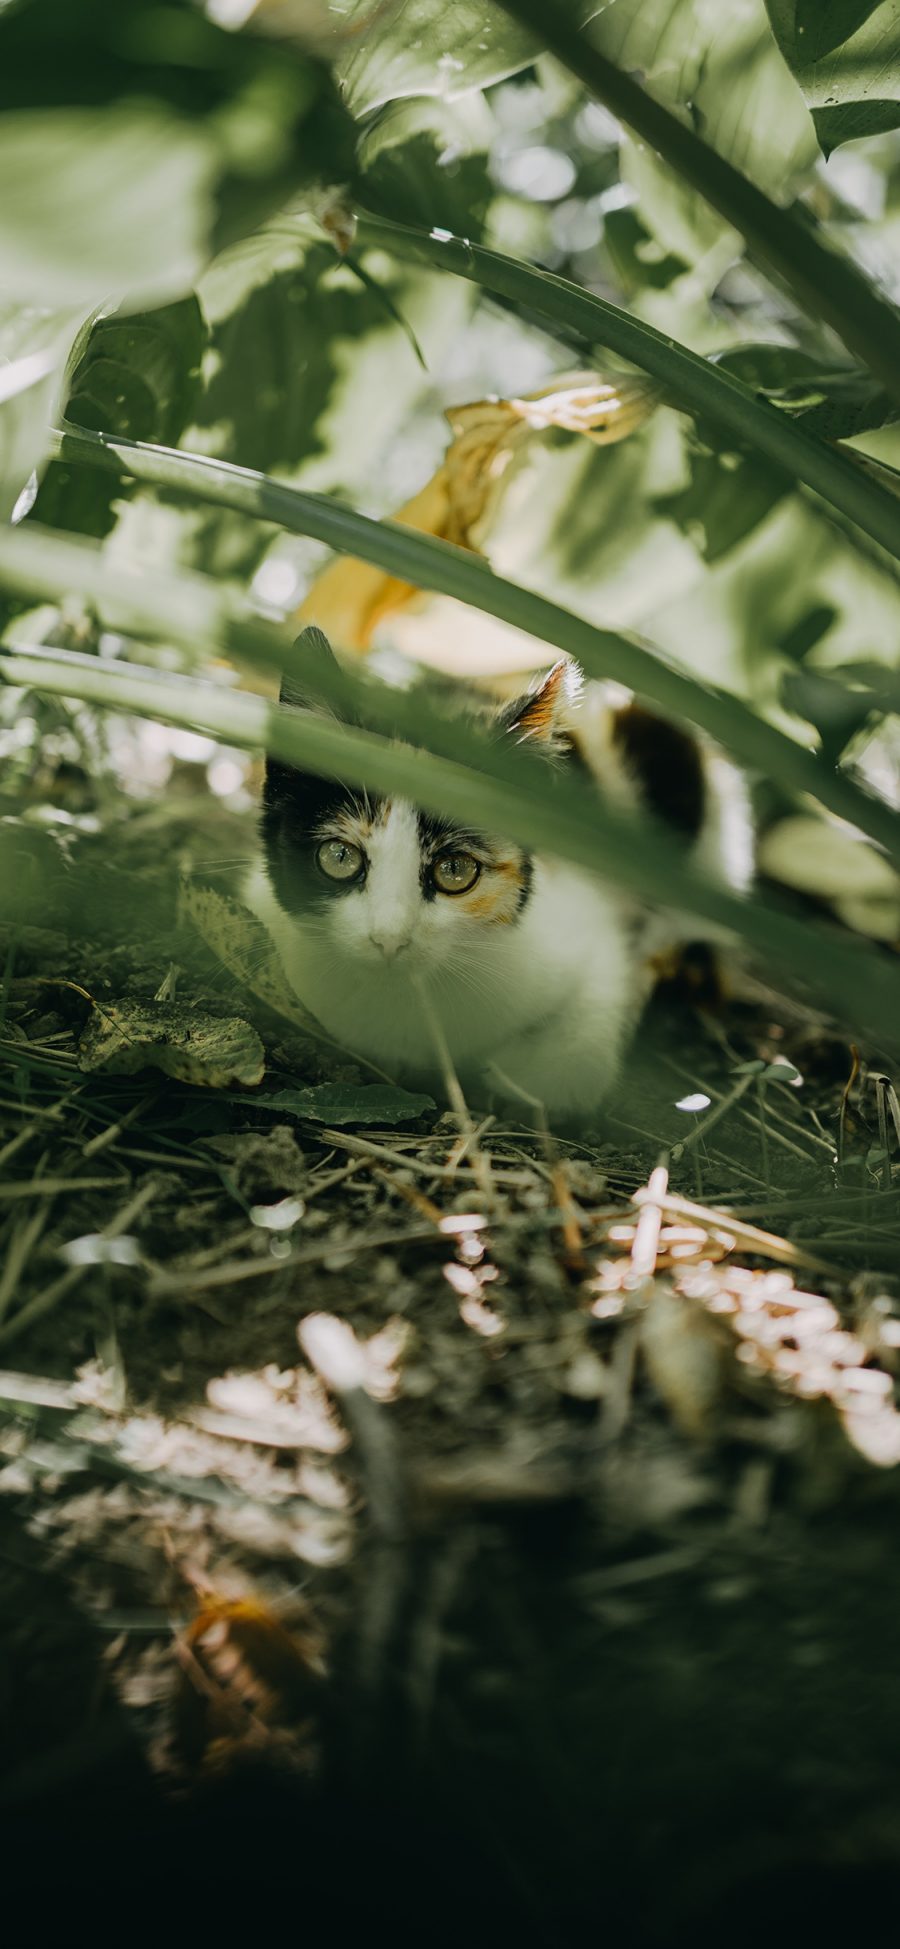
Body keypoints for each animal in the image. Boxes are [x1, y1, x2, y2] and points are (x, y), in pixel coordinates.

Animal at [247, 623, 751, 1114]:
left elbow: (577, 1055)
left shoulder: (586, 925)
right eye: (340, 857)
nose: (389, 940)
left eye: (454, 870)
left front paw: (519, 1072)